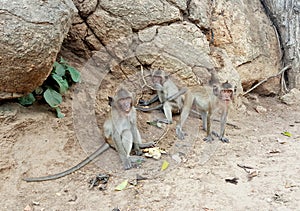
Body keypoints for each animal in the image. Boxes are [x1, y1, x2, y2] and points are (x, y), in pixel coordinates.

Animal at [22, 87, 152, 181]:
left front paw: (138, 148)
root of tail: (106, 140)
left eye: (127, 99)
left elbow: (133, 126)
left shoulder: (133, 111)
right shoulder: (116, 117)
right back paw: (130, 157)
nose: (126, 105)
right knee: (126, 132)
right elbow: (117, 134)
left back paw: (142, 146)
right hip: (111, 141)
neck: (124, 113)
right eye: (122, 100)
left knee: (131, 129)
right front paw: (126, 160)